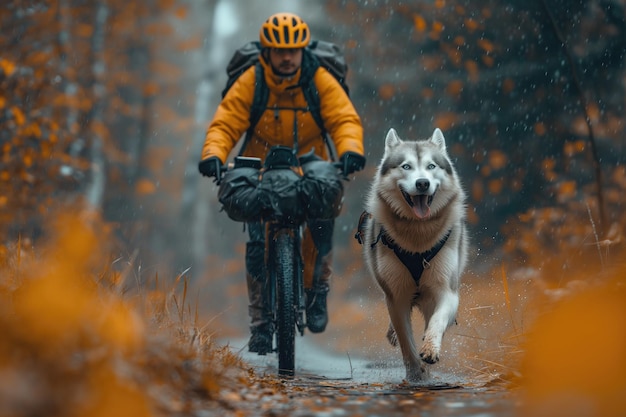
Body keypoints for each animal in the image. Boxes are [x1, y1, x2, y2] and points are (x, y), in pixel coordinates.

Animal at [358, 127, 466, 380]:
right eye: (406, 166)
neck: (418, 235)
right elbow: (406, 341)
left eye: (431, 166)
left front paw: (430, 349)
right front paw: (416, 375)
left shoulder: (447, 290)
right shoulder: (396, 296)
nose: (422, 183)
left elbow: (437, 320)